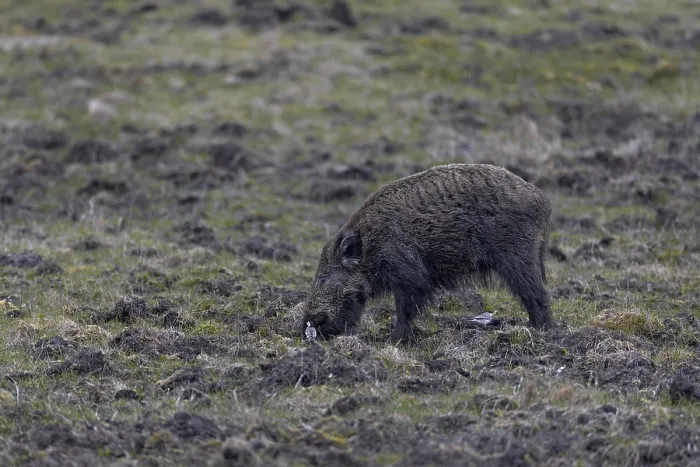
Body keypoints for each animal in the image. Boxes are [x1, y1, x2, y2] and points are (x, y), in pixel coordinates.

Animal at [300, 163, 553, 344]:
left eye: (322, 278)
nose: (305, 327)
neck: (371, 249)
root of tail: (542, 200)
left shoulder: (409, 276)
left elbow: (405, 309)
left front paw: (394, 341)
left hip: (517, 255)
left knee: (536, 294)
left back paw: (542, 331)